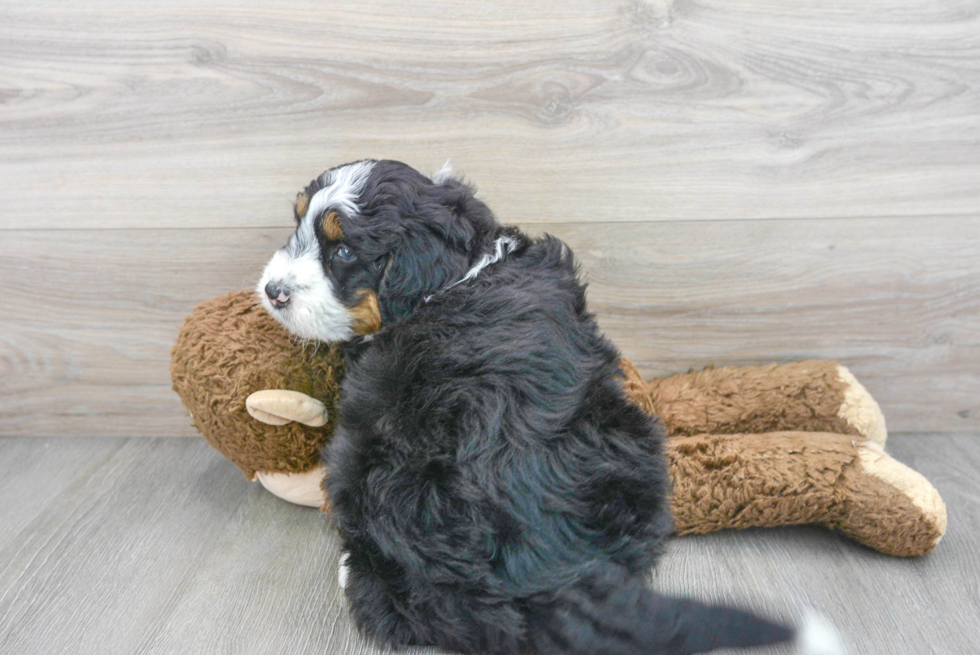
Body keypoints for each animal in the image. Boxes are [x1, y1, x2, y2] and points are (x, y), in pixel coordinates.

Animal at [256, 160, 832, 655]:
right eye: (298, 223)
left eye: (343, 252)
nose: (271, 291)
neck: (460, 273)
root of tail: (544, 581)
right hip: (632, 442)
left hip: (358, 463)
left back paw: (351, 569)